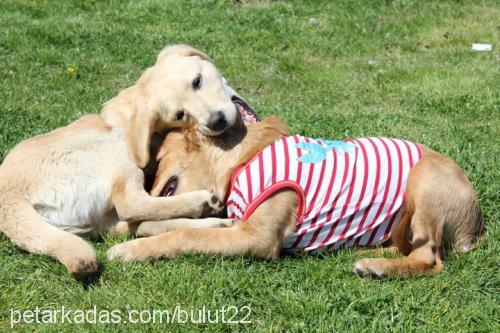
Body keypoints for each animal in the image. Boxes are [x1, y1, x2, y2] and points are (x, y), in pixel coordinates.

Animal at [0, 44, 254, 278]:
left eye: (197, 81)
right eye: (180, 115)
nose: (216, 122)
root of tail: (9, 201)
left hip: (99, 219)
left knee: (136, 224)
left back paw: (214, 223)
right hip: (111, 153)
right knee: (132, 204)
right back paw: (202, 203)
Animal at [106, 116, 484, 278]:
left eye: (155, 163)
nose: (143, 178)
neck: (242, 160)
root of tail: (476, 224)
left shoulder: (256, 237)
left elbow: (184, 234)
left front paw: (130, 249)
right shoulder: (235, 224)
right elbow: (184, 225)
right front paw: (139, 231)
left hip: (422, 180)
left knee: (428, 260)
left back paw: (375, 267)